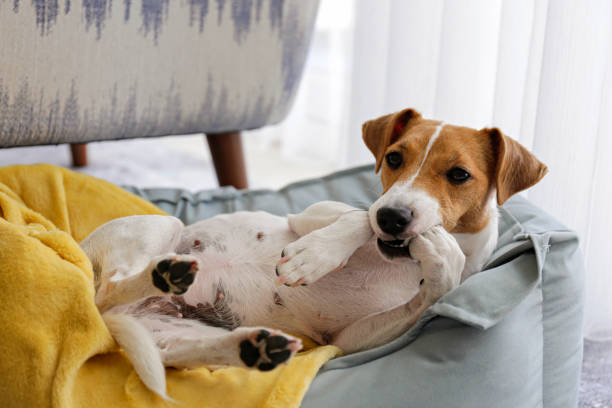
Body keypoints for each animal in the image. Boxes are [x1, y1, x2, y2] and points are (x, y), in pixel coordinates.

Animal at [81, 107, 544, 398]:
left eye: (459, 174)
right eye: (394, 158)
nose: (393, 216)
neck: (403, 265)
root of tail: (109, 319)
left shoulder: (349, 339)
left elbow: (436, 289)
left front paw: (444, 258)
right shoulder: (310, 215)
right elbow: (356, 218)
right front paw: (316, 255)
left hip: (176, 331)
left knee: (182, 352)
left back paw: (253, 348)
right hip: (162, 230)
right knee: (115, 285)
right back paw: (165, 275)